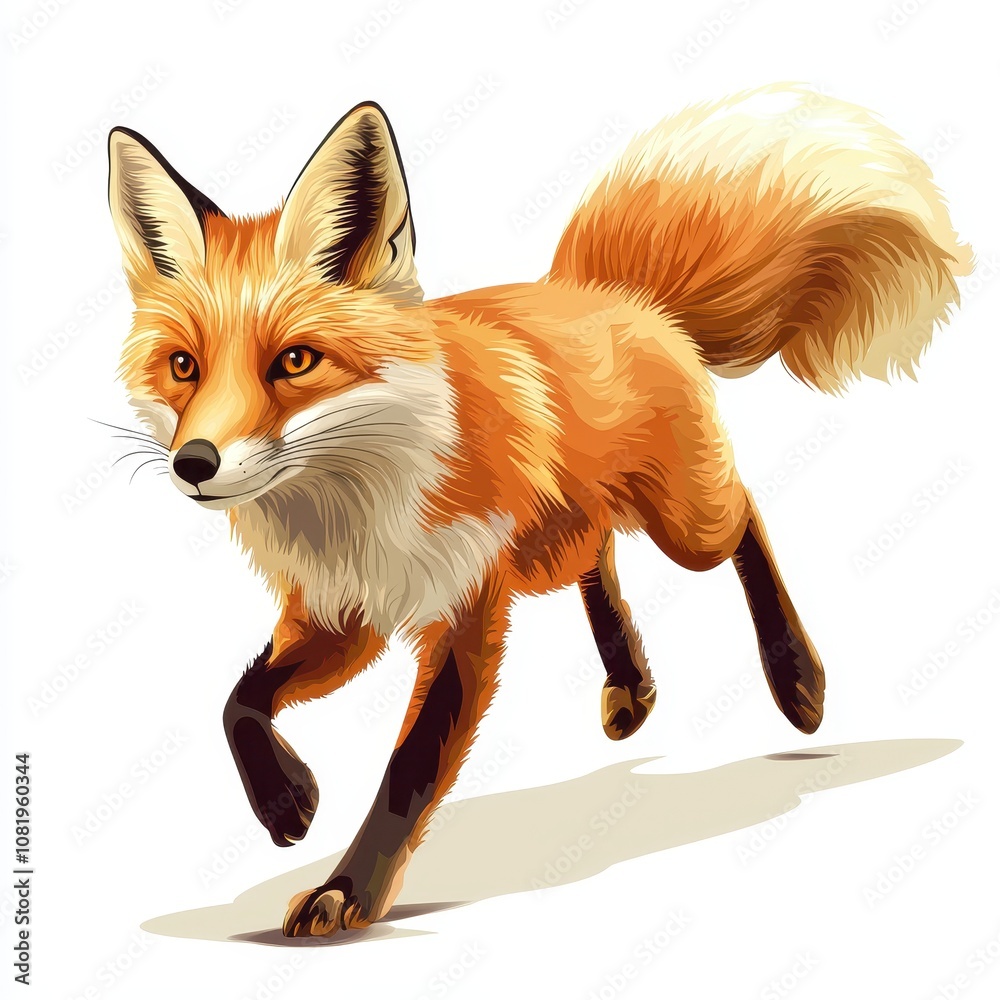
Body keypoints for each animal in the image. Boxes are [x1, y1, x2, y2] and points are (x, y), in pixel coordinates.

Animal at [106, 84, 971, 938]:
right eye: (183, 366)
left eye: (294, 361)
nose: (194, 464)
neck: (355, 504)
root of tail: (611, 292)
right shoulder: (342, 612)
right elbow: (239, 702)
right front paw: (287, 802)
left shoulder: (464, 612)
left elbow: (408, 771)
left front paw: (349, 891)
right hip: (558, 543)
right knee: (601, 554)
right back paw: (631, 682)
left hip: (683, 523)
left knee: (746, 517)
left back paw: (797, 681)